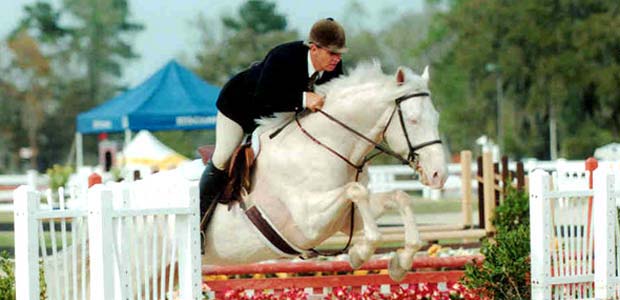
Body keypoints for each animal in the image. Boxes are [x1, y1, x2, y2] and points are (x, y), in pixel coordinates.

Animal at [203, 61, 446, 282]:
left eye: (437, 117)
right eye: (413, 120)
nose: (439, 175)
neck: (326, 144)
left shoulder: (346, 219)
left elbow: (399, 196)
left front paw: (400, 262)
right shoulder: (308, 222)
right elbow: (356, 190)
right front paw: (359, 254)